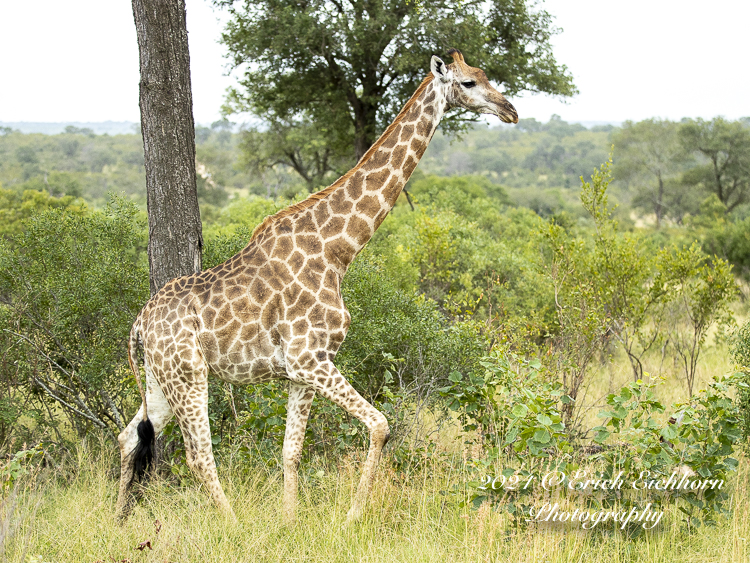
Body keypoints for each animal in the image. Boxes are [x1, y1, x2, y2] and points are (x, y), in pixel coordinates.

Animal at [116, 48, 516, 524]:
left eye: (485, 74)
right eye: (469, 83)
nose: (510, 110)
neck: (338, 250)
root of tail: (138, 324)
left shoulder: (301, 370)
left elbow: (291, 452)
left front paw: (289, 521)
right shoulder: (310, 359)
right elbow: (380, 424)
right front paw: (353, 516)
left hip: (161, 379)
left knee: (129, 436)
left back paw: (116, 520)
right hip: (188, 375)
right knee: (198, 455)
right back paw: (232, 524)